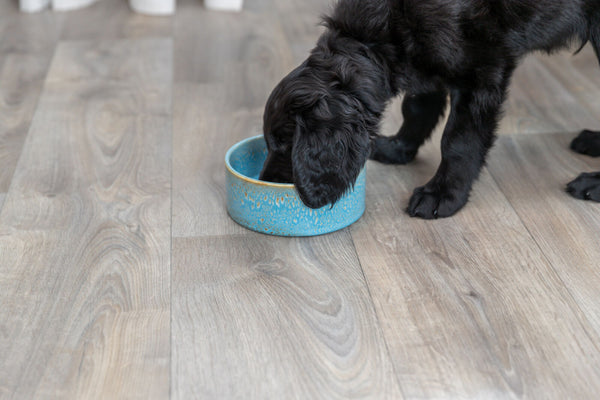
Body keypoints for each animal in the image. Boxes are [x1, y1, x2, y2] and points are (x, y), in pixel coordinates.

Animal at [260, 0, 600, 219]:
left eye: (286, 146)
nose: (266, 182)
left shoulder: (482, 72)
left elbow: (458, 141)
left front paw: (443, 194)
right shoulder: (425, 58)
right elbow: (417, 105)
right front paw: (399, 148)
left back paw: (592, 184)